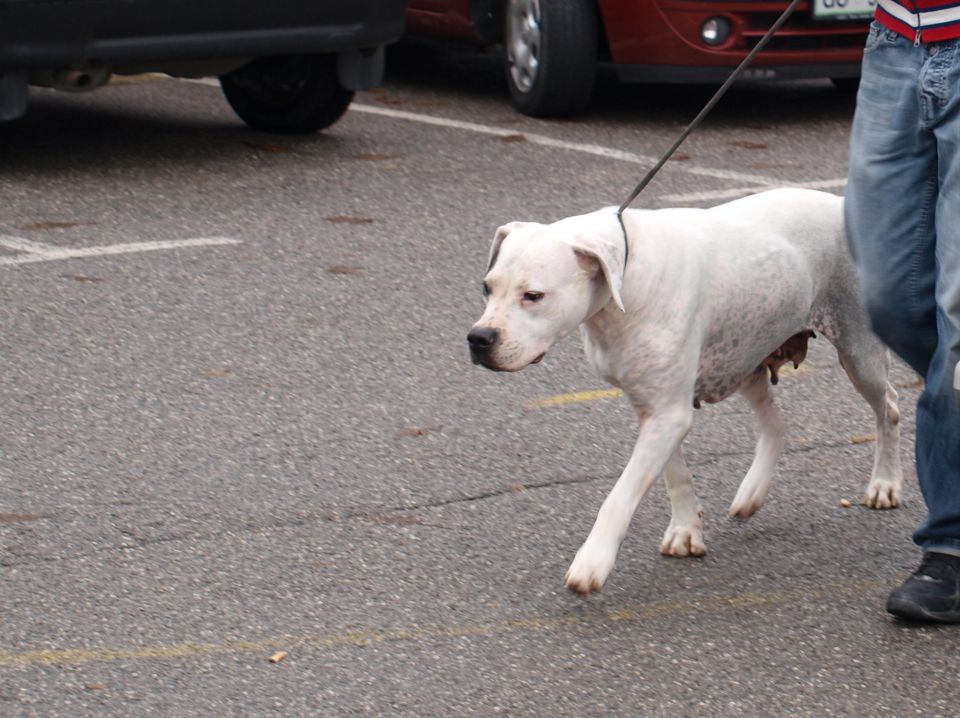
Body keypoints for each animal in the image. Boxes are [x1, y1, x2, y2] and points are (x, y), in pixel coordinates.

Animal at [468, 187, 904, 596]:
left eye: (533, 295)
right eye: (487, 288)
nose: (478, 338)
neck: (625, 280)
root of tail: (841, 202)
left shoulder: (667, 415)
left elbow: (619, 496)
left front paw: (592, 561)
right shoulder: (658, 409)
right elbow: (674, 474)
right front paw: (684, 529)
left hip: (858, 353)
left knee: (889, 410)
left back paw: (885, 484)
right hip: (744, 354)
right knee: (776, 424)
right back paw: (753, 491)